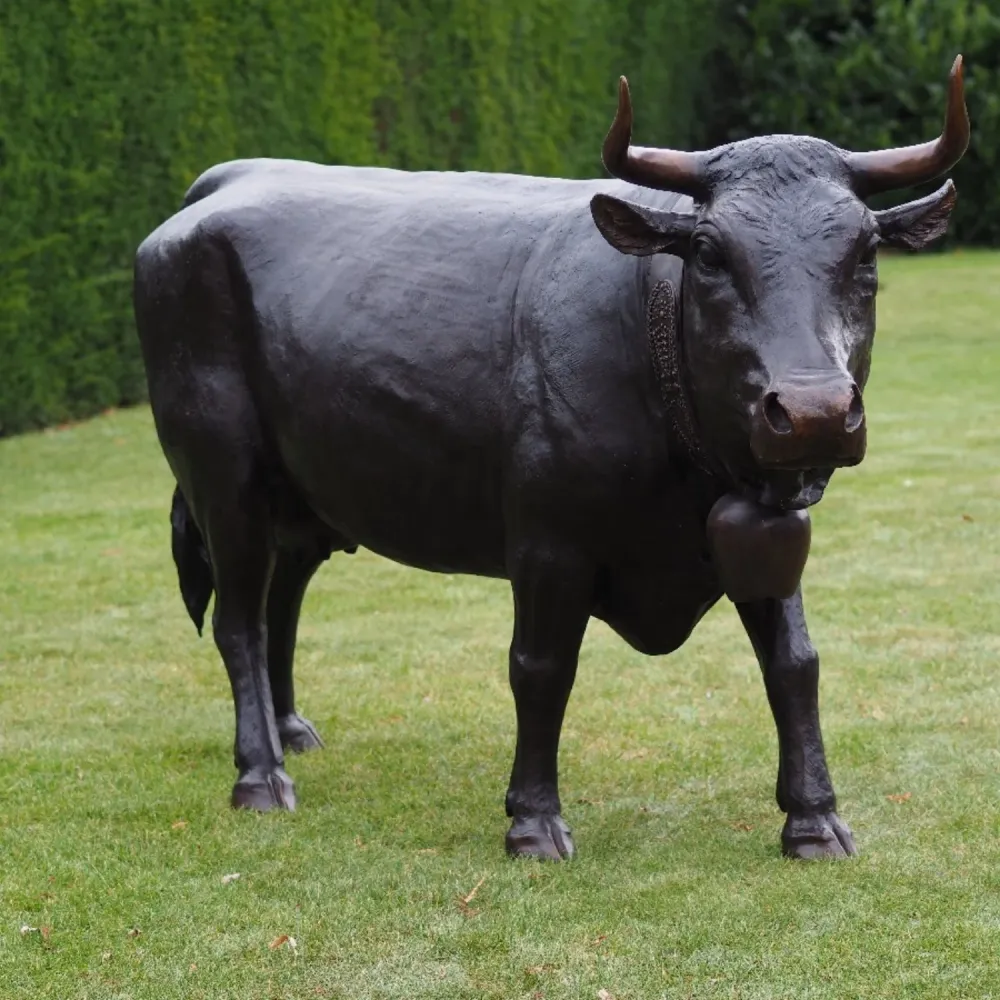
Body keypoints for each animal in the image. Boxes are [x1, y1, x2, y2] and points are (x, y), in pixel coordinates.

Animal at [134, 58, 969, 861]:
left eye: (865, 252)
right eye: (708, 251)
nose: (813, 411)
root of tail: (214, 192)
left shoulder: (769, 524)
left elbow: (795, 663)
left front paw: (815, 819)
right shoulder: (546, 541)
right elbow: (540, 668)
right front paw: (533, 821)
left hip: (305, 497)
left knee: (281, 600)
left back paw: (290, 731)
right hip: (223, 478)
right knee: (239, 619)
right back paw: (260, 772)